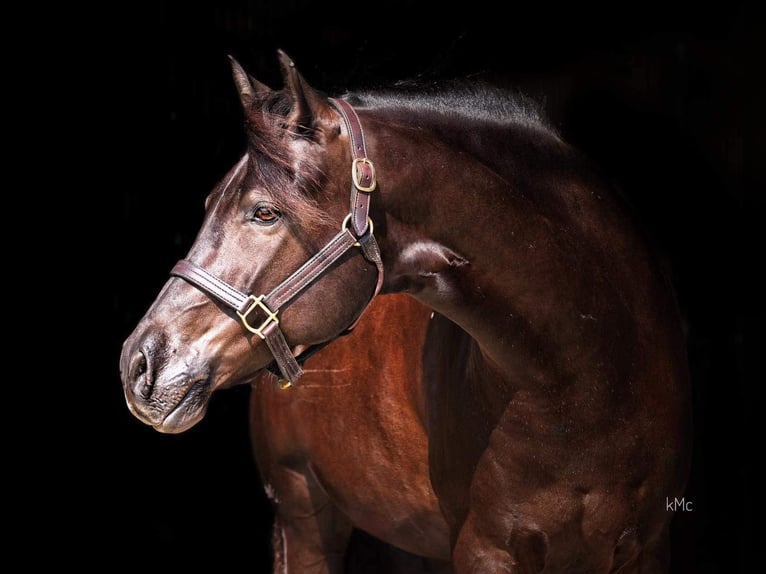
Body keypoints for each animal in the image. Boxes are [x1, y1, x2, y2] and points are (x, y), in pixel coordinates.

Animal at [121, 50, 696, 574]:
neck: (585, 381)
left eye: (264, 212)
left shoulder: (648, 548)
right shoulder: (486, 552)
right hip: (303, 519)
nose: (139, 364)